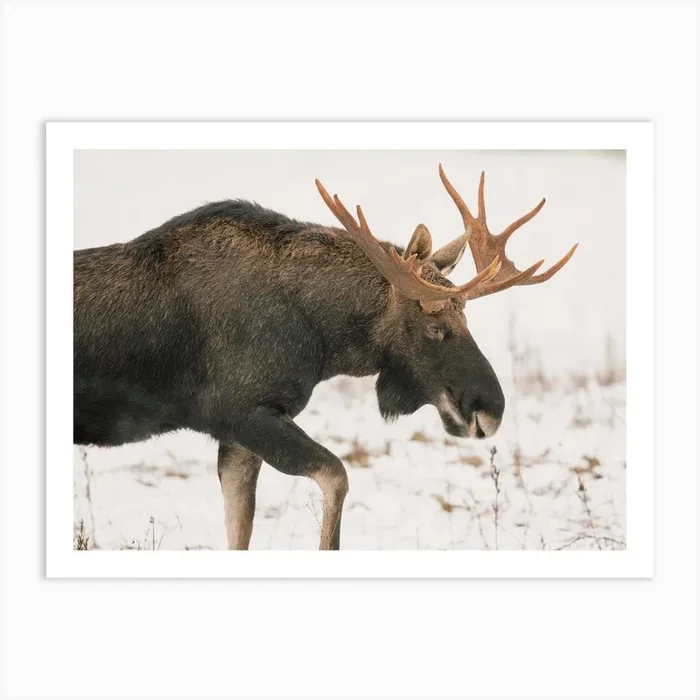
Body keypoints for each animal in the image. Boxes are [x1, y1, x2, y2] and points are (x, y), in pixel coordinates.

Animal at [73, 165, 577, 550]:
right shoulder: (243, 413)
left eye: (466, 315)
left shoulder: (237, 435)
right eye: (435, 326)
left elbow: (240, 534)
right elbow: (337, 477)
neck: (322, 339)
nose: (491, 409)